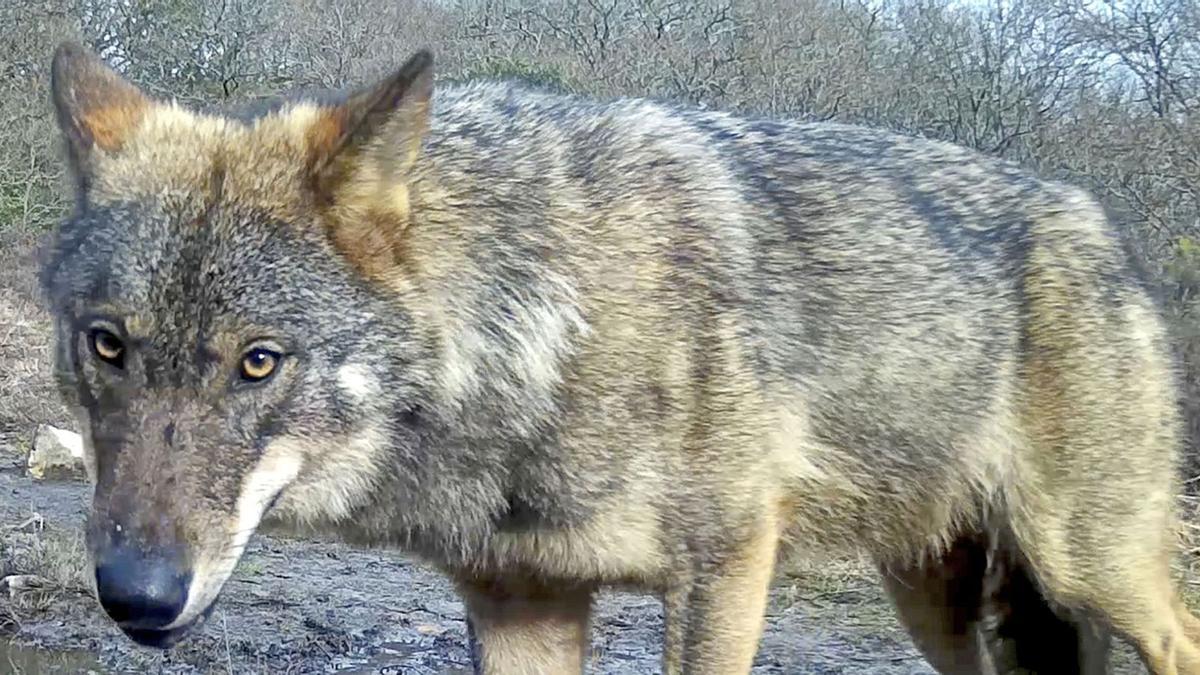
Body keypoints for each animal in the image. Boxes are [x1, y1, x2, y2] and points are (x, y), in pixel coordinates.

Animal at [37, 42, 1200, 672]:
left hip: (1091, 569)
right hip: (944, 607)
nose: (135, 595)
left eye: (259, 362)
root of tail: (1103, 226)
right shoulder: (522, 603)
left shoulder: (726, 569)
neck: (548, 333)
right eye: (108, 345)